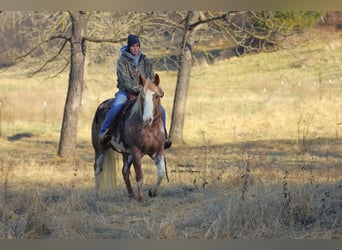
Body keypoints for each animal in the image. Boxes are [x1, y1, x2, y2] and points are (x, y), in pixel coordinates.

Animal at [91, 73, 168, 202]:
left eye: (156, 96)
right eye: (142, 97)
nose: (147, 120)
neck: (150, 129)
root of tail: (101, 106)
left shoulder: (157, 151)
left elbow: (161, 173)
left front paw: (153, 192)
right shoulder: (136, 151)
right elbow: (139, 175)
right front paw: (141, 199)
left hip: (127, 154)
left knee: (125, 171)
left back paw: (131, 195)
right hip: (100, 149)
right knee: (97, 170)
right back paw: (96, 196)